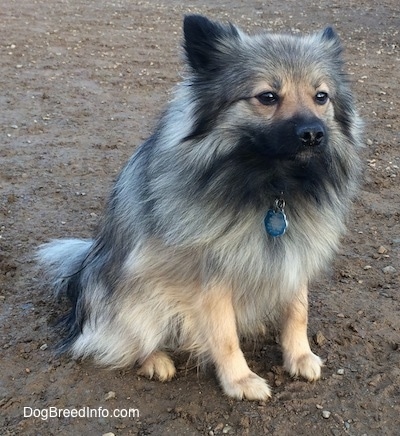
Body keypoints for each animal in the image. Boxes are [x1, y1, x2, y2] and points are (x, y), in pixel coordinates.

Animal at [38, 14, 362, 402]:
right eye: (268, 97)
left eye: (321, 96)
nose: (313, 134)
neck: (273, 188)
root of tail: (85, 267)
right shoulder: (211, 274)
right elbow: (224, 335)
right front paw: (240, 380)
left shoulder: (295, 253)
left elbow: (297, 311)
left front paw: (299, 356)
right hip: (135, 296)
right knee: (116, 340)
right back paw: (155, 359)